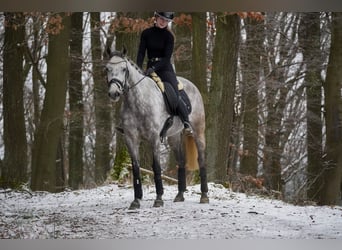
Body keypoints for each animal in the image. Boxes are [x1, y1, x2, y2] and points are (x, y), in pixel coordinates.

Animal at [107, 48, 208, 209]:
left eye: (124, 69)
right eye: (107, 69)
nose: (113, 93)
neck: (137, 101)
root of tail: (192, 86)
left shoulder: (153, 138)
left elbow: (156, 167)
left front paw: (159, 198)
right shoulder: (131, 138)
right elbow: (136, 168)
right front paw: (136, 200)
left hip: (198, 131)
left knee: (202, 159)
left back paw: (204, 195)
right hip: (173, 137)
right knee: (181, 161)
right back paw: (180, 195)